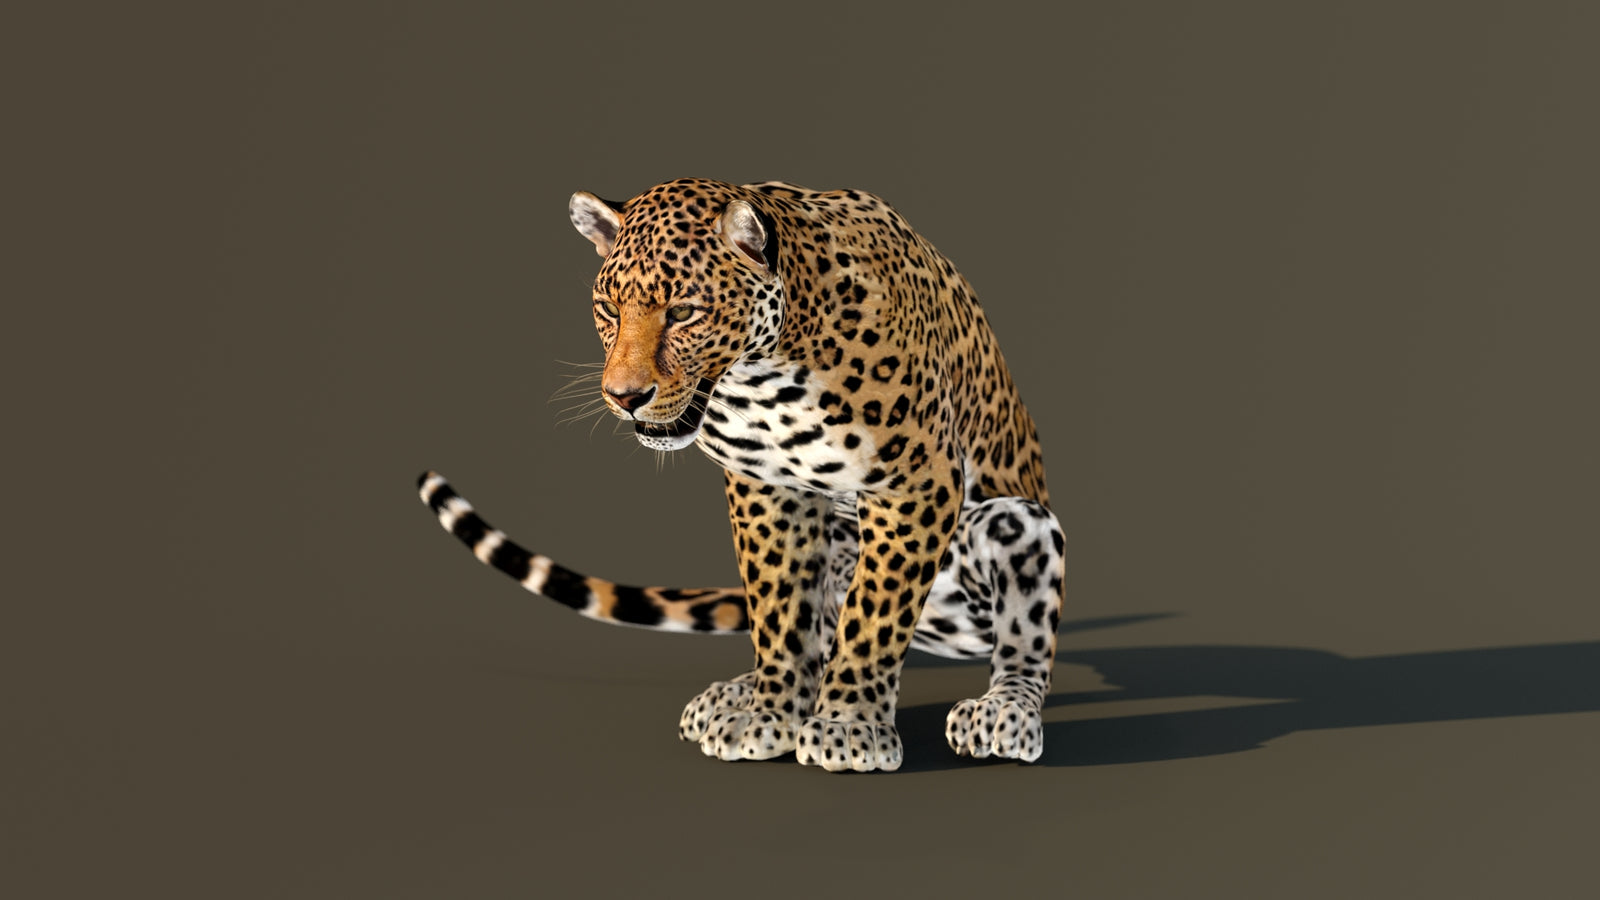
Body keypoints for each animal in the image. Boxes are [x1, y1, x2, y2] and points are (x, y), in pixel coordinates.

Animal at [419, 178, 1065, 772]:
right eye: (609, 309)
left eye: (683, 312)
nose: (624, 397)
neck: (767, 377)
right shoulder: (768, 488)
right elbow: (779, 609)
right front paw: (770, 713)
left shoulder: (915, 482)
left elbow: (874, 615)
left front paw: (847, 725)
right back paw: (734, 695)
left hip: (1017, 522)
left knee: (1022, 644)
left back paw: (1002, 713)